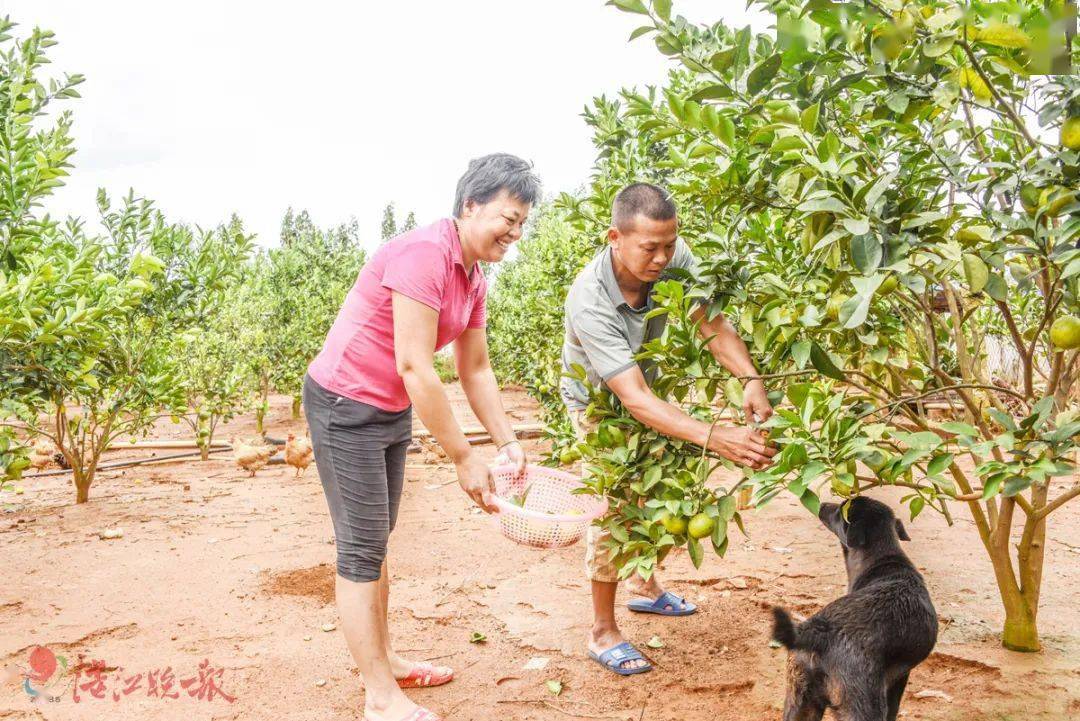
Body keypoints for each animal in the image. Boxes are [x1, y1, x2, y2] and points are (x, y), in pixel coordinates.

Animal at [768, 496, 937, 721]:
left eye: (841, 510)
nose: (822, 504)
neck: (884, 559)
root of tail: (818, 634)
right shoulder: (900, 677)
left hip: (800, 701)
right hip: (862, 708)